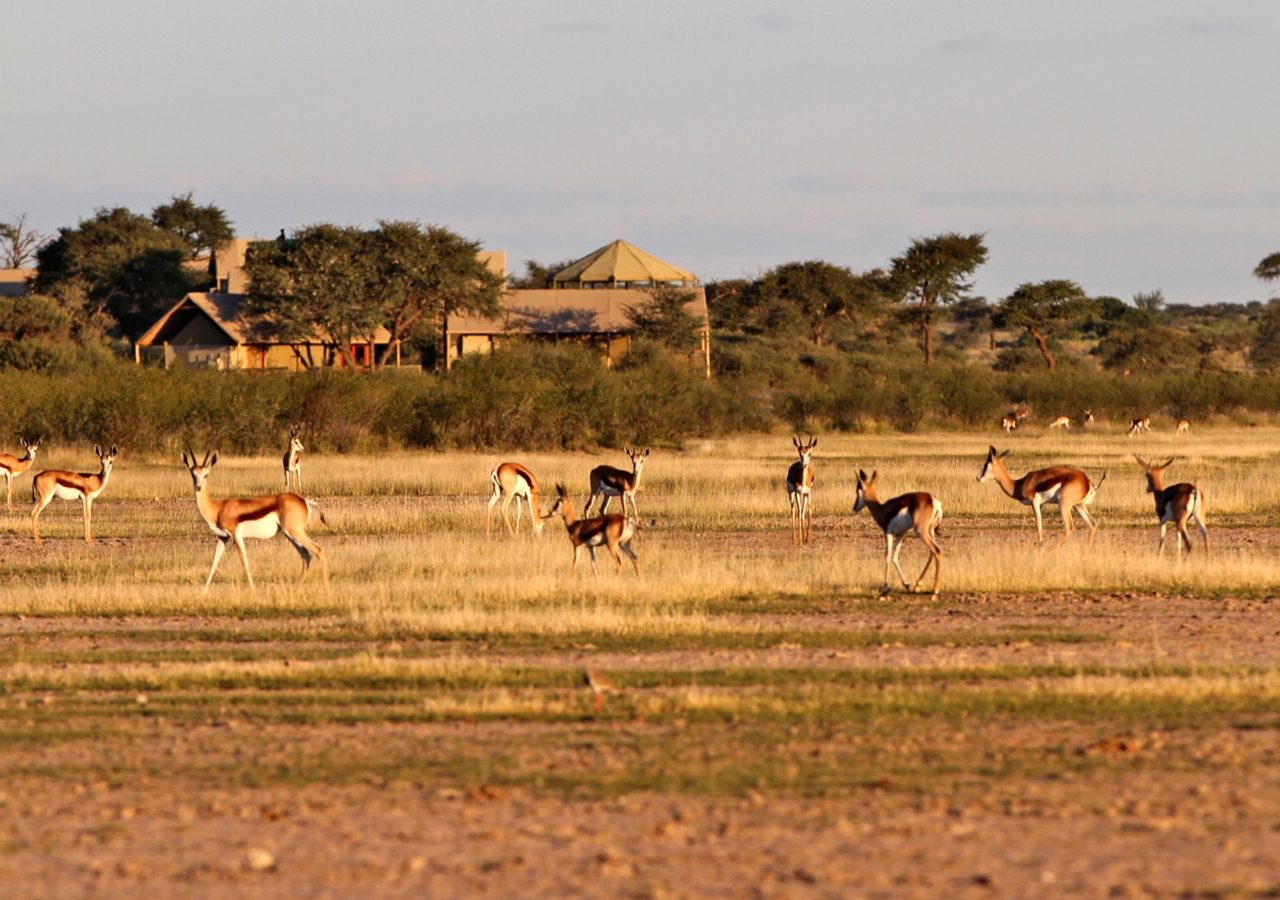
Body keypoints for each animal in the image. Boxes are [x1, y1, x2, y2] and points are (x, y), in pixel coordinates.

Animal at [183, 448, 327, 591]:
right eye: (193, 474)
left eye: (206, 475)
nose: (198, 487)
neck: (218, 508)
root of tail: (304, 501)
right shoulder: (223, 537)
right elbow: (214, 562)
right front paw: (203, 592)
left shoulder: (236, 535)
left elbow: (244, 561)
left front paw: (253, 590)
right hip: (290, 534)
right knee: (306, 555)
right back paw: (297, 588)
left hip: (294, 532)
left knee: (318, 550)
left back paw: (325, 589)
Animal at [855, 471, 947, 599]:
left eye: (857, 489)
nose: (854, 507)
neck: (882, 509)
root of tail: (934, 501)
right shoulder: (900, 535)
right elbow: (895, 557)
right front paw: (906, 585)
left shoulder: (888, 533)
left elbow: (888, 556)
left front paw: (885, 588)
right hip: (930, 531)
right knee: (932, 553)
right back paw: (918, 585)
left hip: (921, 532)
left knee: (937, 550)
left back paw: (934, 592)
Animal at [972, 448, 1105, 545]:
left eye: (986, 465)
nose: (978, 478)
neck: (1019, 484)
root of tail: (1088, 482)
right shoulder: (1041, 505)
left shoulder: (1034, 503)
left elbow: (1039, 527)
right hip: (1079, 506)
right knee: (1092, 525)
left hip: (1064, 505)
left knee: (1069, 528)